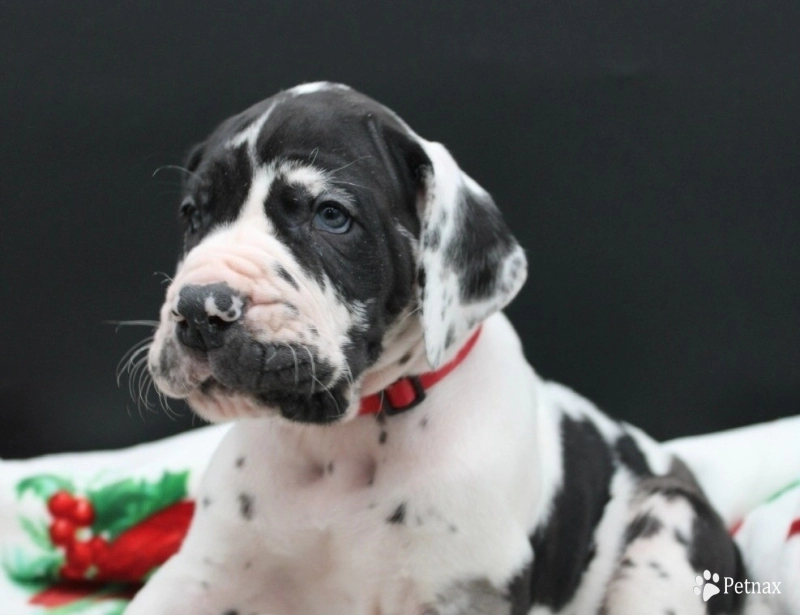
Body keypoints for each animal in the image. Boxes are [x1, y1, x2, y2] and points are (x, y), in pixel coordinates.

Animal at [125, 83, 744, 615]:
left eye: (331, 215)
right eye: (193, 215)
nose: (200, 309)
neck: (343, 442)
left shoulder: (467, 590)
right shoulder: (199, 574)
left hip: (668, 524)